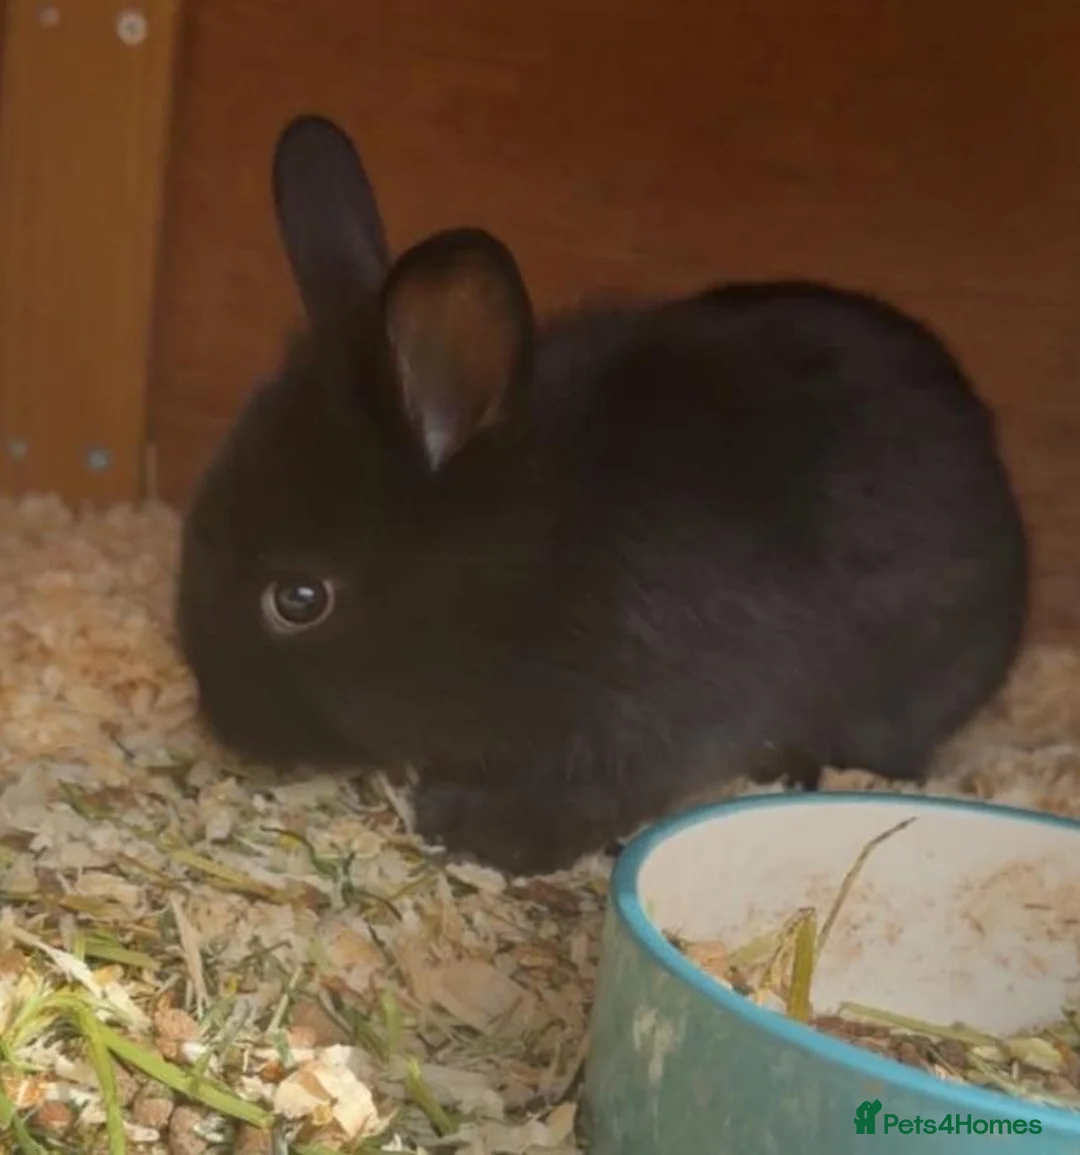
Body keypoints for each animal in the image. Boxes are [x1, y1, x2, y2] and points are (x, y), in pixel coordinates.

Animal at [176, 113, 1030, 877]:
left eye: (299, 598)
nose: (224, 722)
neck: (532, 567)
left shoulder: (642, 727)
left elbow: (586, 803)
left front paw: (464, 825)